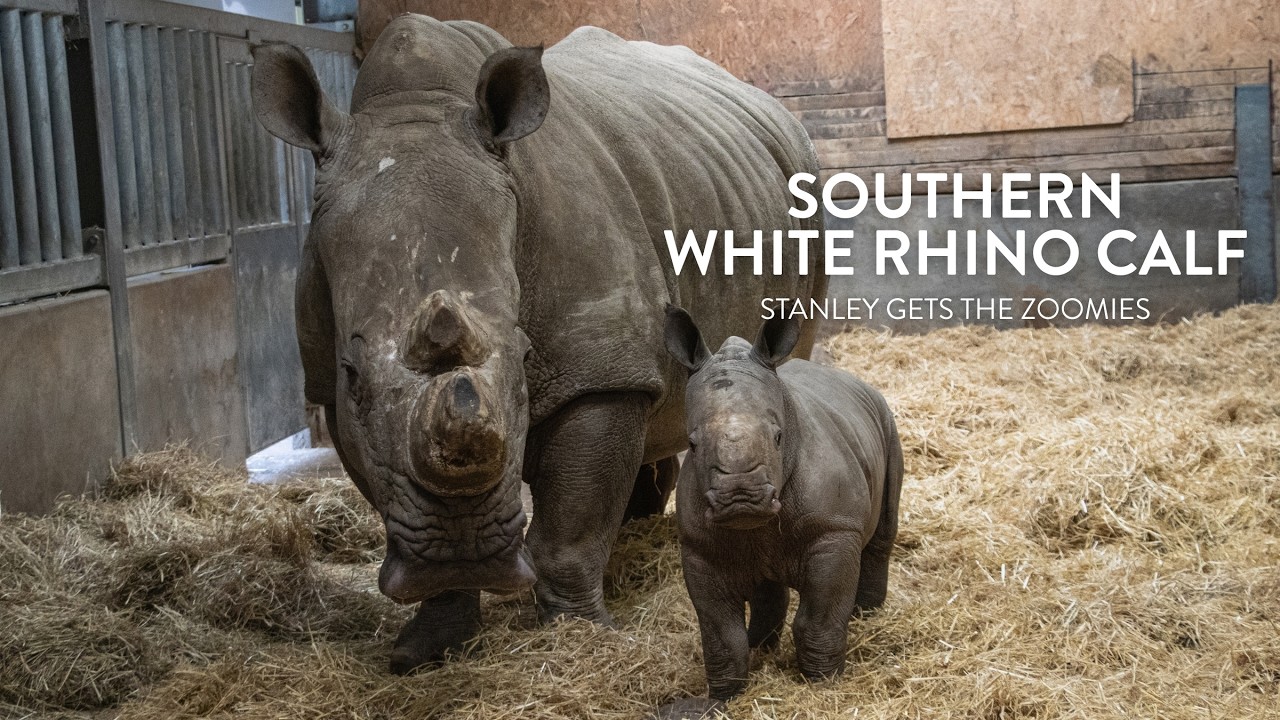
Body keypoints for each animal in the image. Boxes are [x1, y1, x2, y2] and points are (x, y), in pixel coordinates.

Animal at [251, 14, 825, 673]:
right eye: (352, 373)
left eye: (526, 358)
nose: (464, 553)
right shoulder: (326, 381)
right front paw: (425, 648)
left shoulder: (600, 369)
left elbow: (570, 531)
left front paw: (579, 634)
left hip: (802, 182)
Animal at [655, 308, 903, 718]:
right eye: (691, 443)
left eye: (778, 437)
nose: (741, 497)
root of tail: (852, 379)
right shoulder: (699, 549)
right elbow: (722, 636)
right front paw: (723, 697)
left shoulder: (834, 532)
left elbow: (817, 621)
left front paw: (822, 685)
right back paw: (762, 648)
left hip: (886, 420)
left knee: (884, 526)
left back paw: (865, 615)